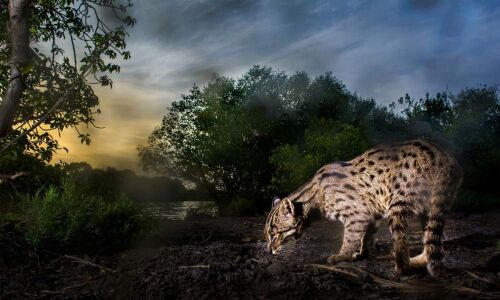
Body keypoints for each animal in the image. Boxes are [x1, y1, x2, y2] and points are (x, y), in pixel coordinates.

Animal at [264, 139, 462, 278]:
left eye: (274, 234)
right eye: (267, 235)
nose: (268, 251)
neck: (315, 196)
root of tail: (445, 160)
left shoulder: (357, 214)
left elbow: (350, 238)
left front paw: (341, 256)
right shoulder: (374, 213)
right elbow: (367, 237)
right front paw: (362, 254)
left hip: (397, 205)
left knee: (402, 243)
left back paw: (401, 267)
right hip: (430, 207)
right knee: (431, 238)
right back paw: (420, 259)